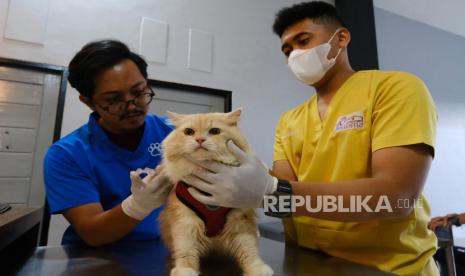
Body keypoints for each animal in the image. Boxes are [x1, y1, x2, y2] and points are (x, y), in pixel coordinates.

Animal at [160, 109, 274, 276]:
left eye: (214, 131)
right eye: (189, 132)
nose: (200, 139)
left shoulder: (241, 224)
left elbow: (249, 251)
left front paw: (258, 269)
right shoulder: (184, 224)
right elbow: (186, 252)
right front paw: (185, 270)